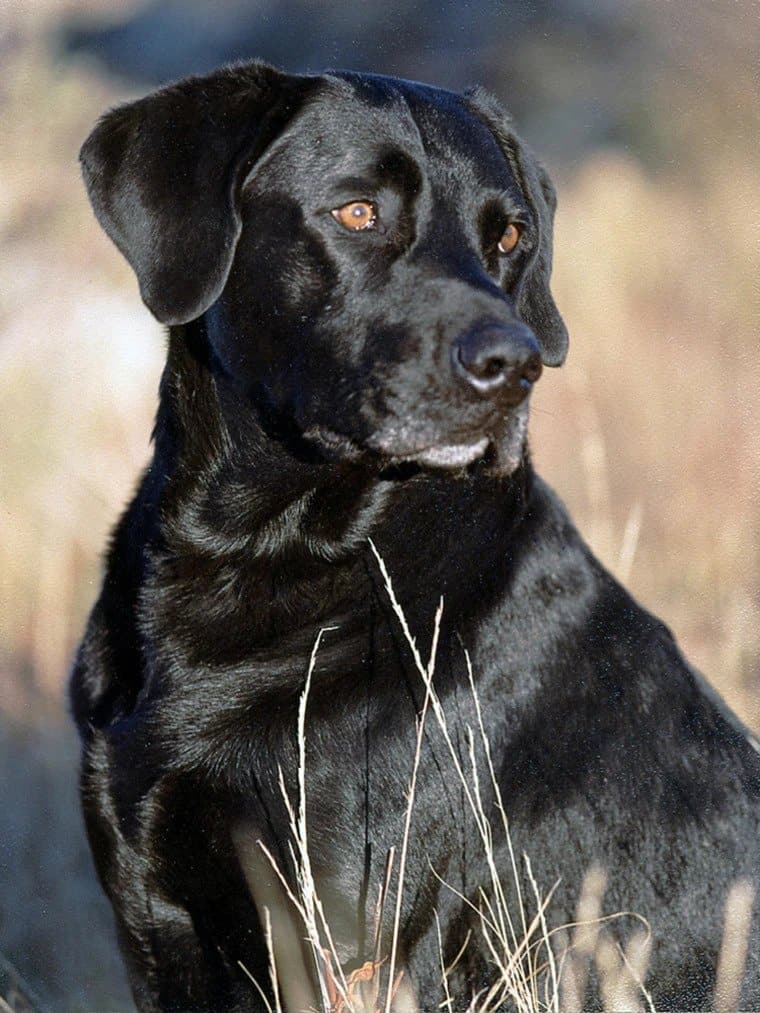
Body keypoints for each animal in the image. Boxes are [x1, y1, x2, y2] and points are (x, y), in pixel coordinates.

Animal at [69, 65, 757, 1013]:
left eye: (509, 236)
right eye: (358, 212)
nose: (515, 365)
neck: (264, 558)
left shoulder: (349, 935)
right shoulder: (154, 911)